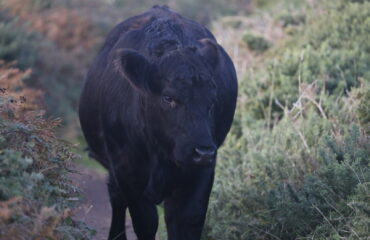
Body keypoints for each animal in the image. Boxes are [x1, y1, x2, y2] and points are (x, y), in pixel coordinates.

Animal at [79, 5, 238, 240]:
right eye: (168, 97)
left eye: (212, 100)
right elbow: (145, 220)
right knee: (116, 199)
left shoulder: (202, 170)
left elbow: (186, 219)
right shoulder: (125, 168)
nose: (202, 152)